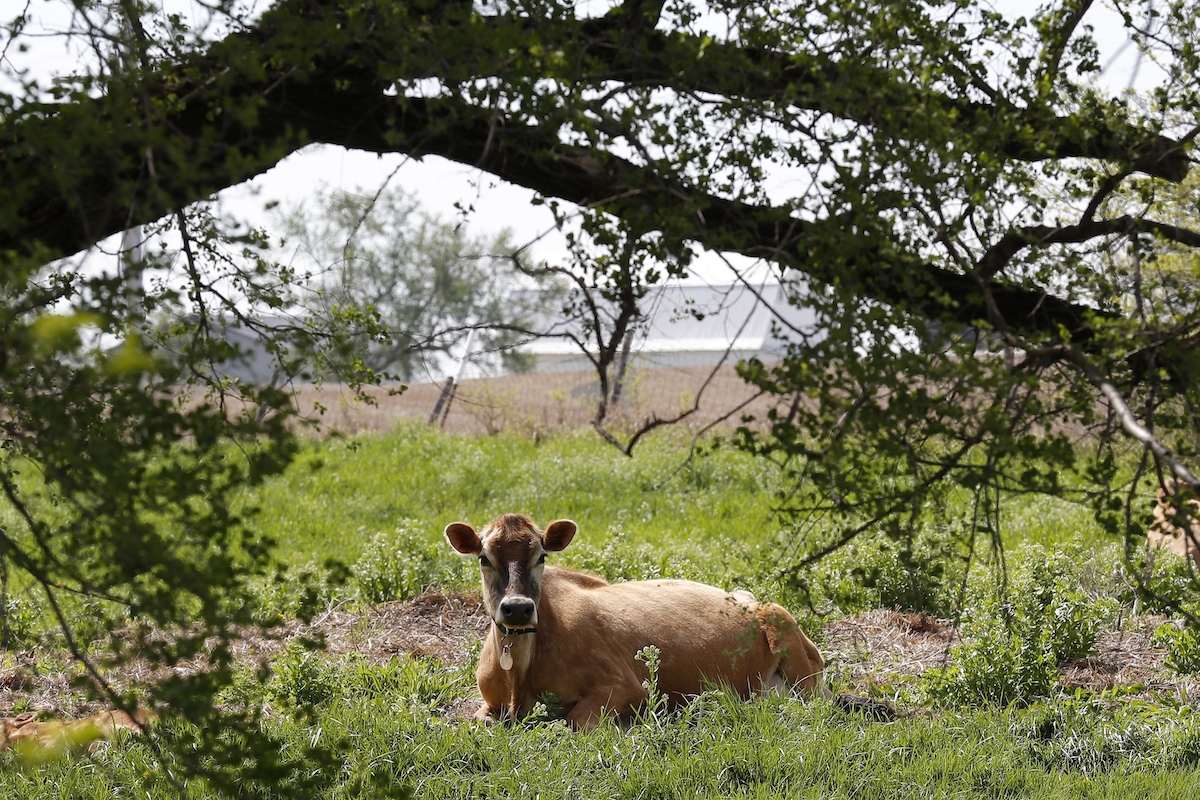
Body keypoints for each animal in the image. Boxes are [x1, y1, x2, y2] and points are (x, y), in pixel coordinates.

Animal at [444, 513, 828, 729]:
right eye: (483, 558)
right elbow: (481, 720)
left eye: (541, 556)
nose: (518, 608)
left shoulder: (623, 686)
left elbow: (572, 722)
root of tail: (750, 599)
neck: (519, 677)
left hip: (791, 645)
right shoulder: (489, 701)